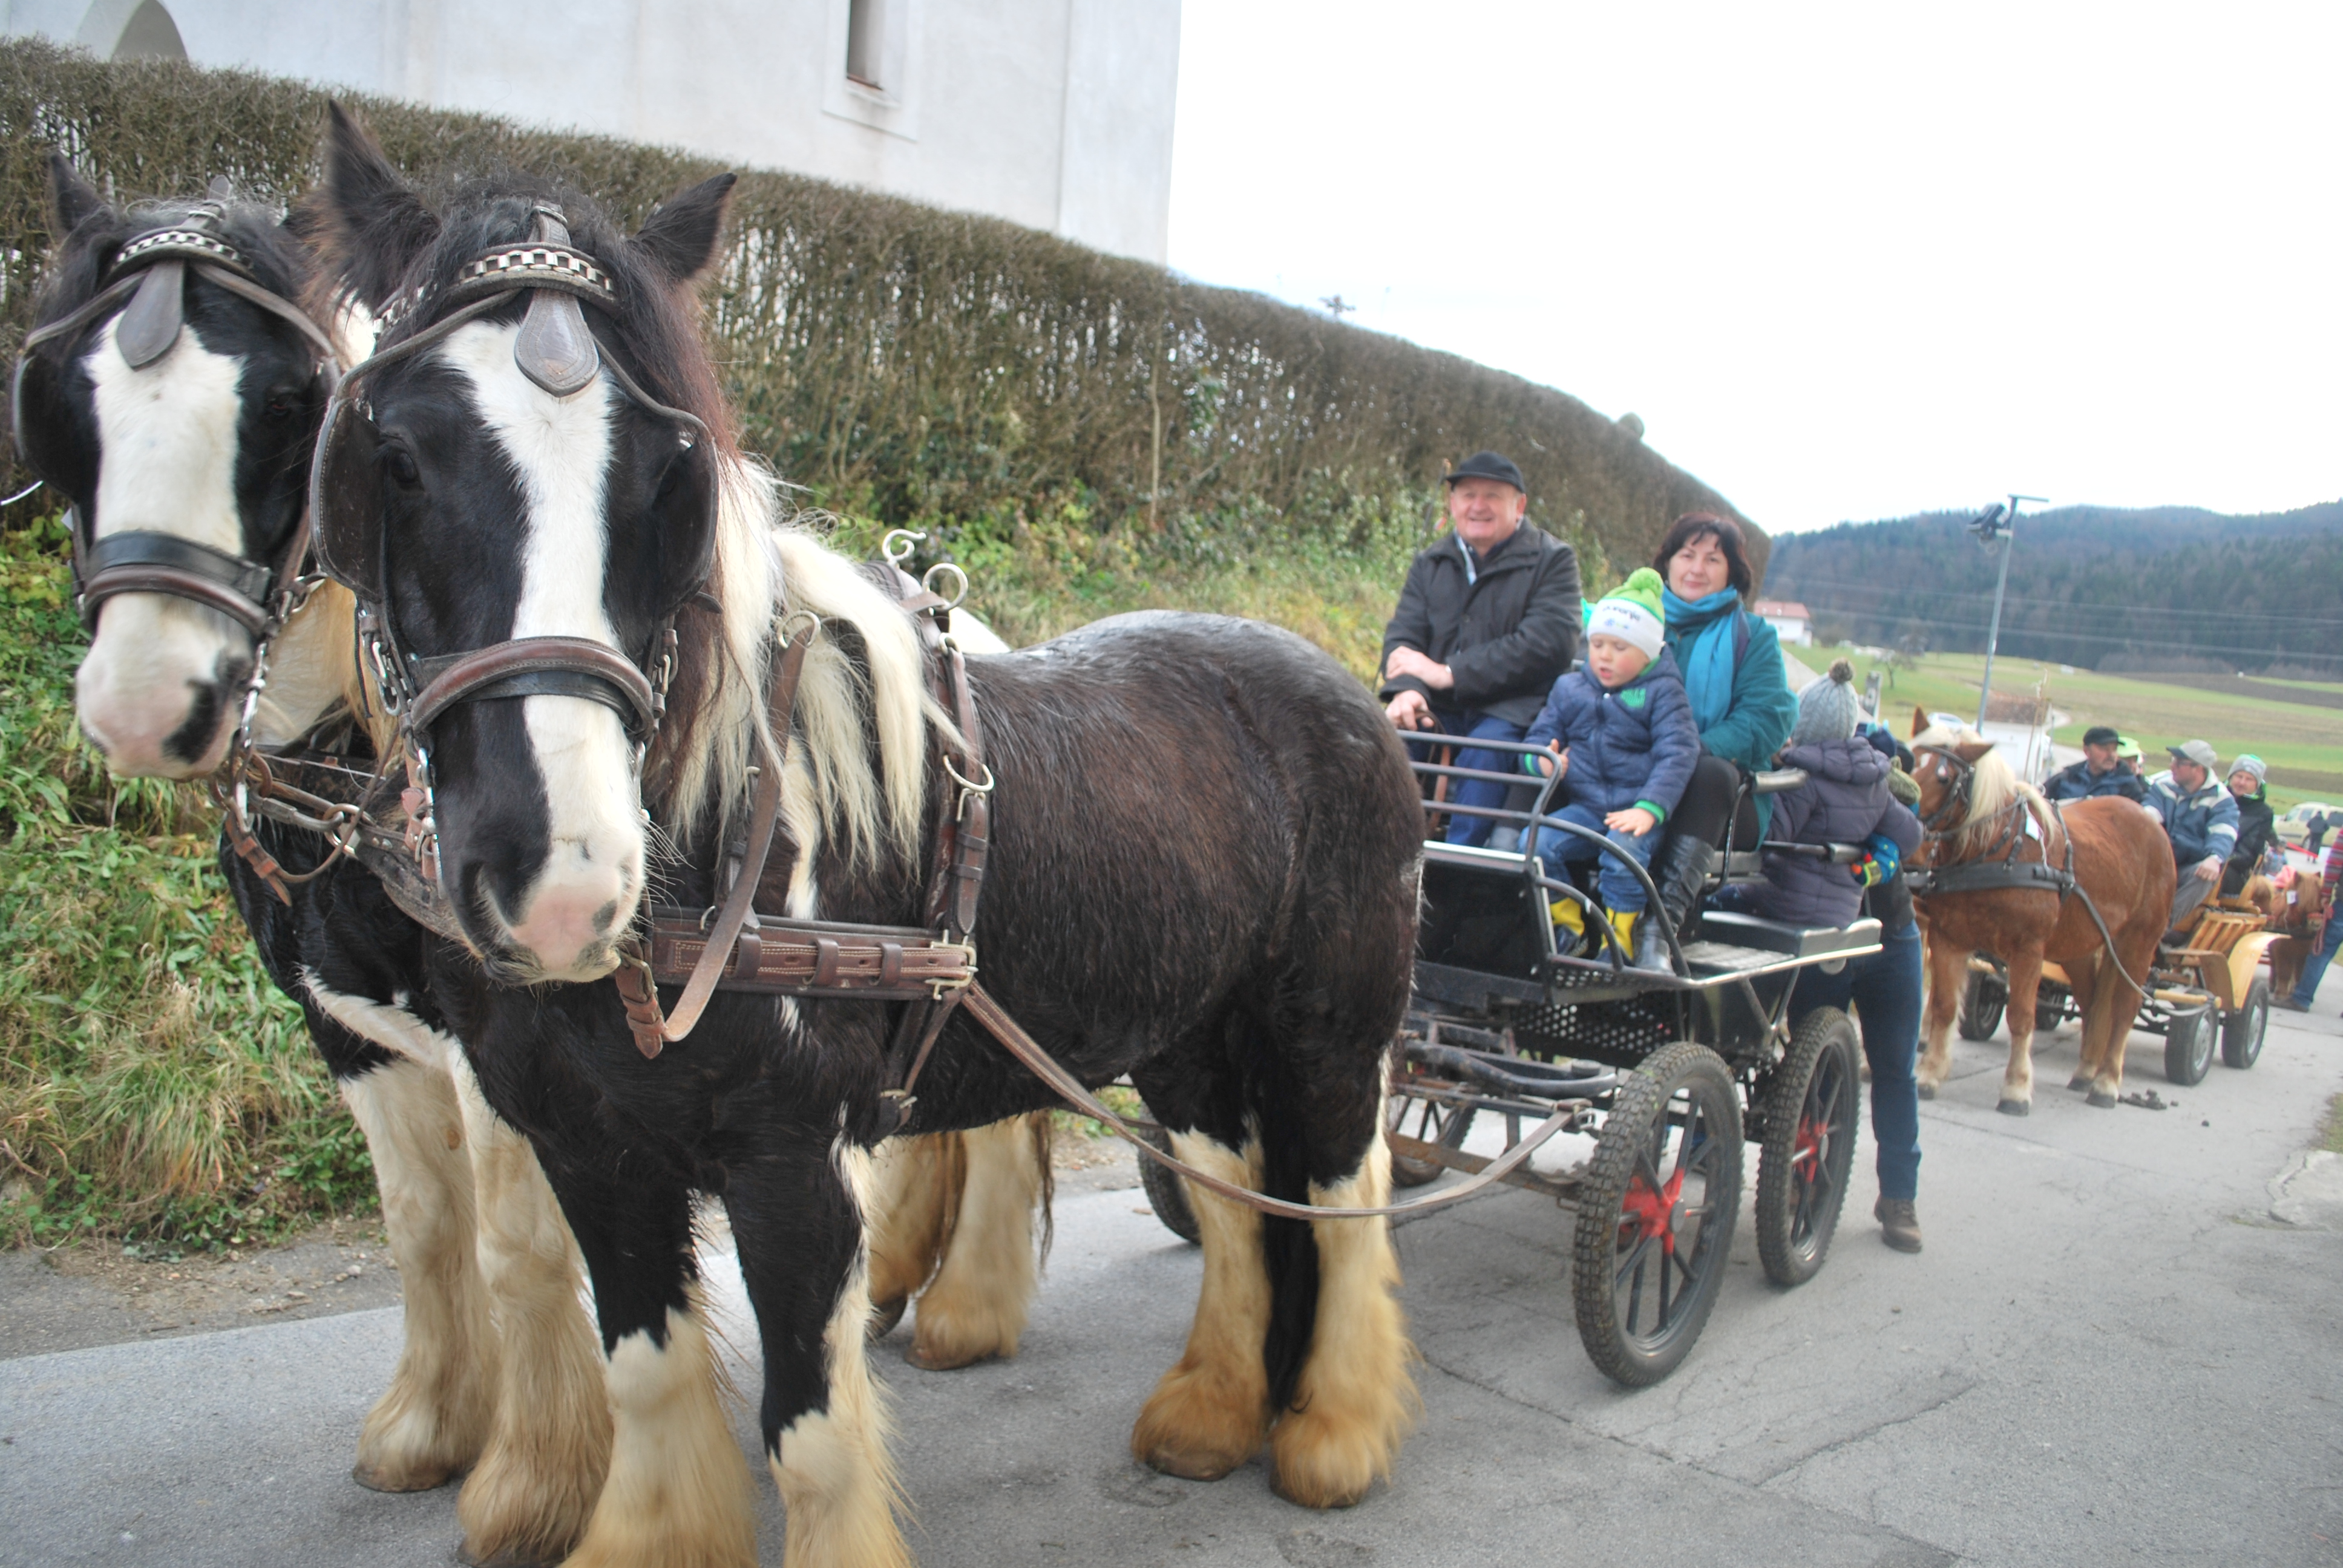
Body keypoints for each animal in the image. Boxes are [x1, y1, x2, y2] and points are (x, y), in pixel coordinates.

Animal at [20, 158, 613, 1563]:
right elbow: (421, 1226)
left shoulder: (503, 1029)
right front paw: (431, 1429)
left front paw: (538, 1483)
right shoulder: (345, 1028)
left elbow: (517, 1241)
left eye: (291, 404)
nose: (145, 701)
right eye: (65, 397)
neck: (356, 761)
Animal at [307, 106, 1422, 1567]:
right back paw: (1210, 1413)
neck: (714, 851)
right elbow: (648, 1373)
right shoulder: (591, 1152)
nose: (564, 876)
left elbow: (810, 1428)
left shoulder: (797, 1165)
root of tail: (1349, 691)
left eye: (668, 475)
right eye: (390, 457)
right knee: (1237, 1193)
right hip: (1181, 1035)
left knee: (1341, 1200)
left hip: (1328, 1034)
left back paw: (1334, 1433)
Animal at [1907, 711, 2175, 1113]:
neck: (1997, 850)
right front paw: (1929, 1074)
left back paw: (2107, 1082)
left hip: (2138, 943)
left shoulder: (2028, 949)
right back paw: (2087, 1070)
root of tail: (2152, 824)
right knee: (2093, 1003)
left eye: (1943, 776)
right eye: (1908, 759)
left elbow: (2021, 1016)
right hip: (2081, 946)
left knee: (2124, 1009)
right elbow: (1943, 1006)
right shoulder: (1948, 938)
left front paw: (2016, 1087)